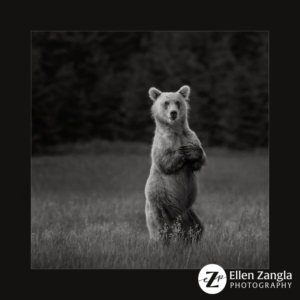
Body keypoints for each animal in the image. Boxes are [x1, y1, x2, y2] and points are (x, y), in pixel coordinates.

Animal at [145, 84, 206, 241]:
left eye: (177, 102)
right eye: (166, 102)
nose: (173, 113)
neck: (176, 131)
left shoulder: (190, 136)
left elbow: (199, 159)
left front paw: (192, 151)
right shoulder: (162, 143)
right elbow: (164, 162)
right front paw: (181, 152)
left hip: (189, 212)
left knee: (197, 228)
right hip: (159, 206)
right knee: (160, 230)